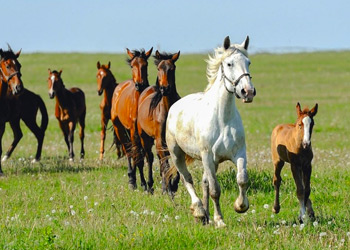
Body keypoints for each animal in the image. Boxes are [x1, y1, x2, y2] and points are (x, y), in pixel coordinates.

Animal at [110, 47, 152, 190]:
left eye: (145, 65)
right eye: (132, 65)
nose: (140, 84)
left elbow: (142, 155)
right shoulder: (134, 131)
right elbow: (138, 158)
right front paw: (143, 184)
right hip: (119, 128)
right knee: (128, 151)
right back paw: (132, 179)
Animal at [136, 50, 182, 193]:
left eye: (172, 68)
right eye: (158, 69)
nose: (164, 88)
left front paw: (173, 184)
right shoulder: (160, 140)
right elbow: (165, 163)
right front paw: (169, 187)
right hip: (144, 137)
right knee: (150, 158)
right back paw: (150, 185)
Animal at [165, 36, 256, 228]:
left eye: (248, 62)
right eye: (229, 63)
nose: (248, 91)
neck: (223, 118)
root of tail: (175, 106)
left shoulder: (238, 154)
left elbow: (242, 178)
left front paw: (240, 206)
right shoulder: (207, 156)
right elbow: (215, 189)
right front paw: (219, 220)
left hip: (212, 162)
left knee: (203, 182)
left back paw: (206, 216)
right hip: (177, 154)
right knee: (187, 179)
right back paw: (199, 211)